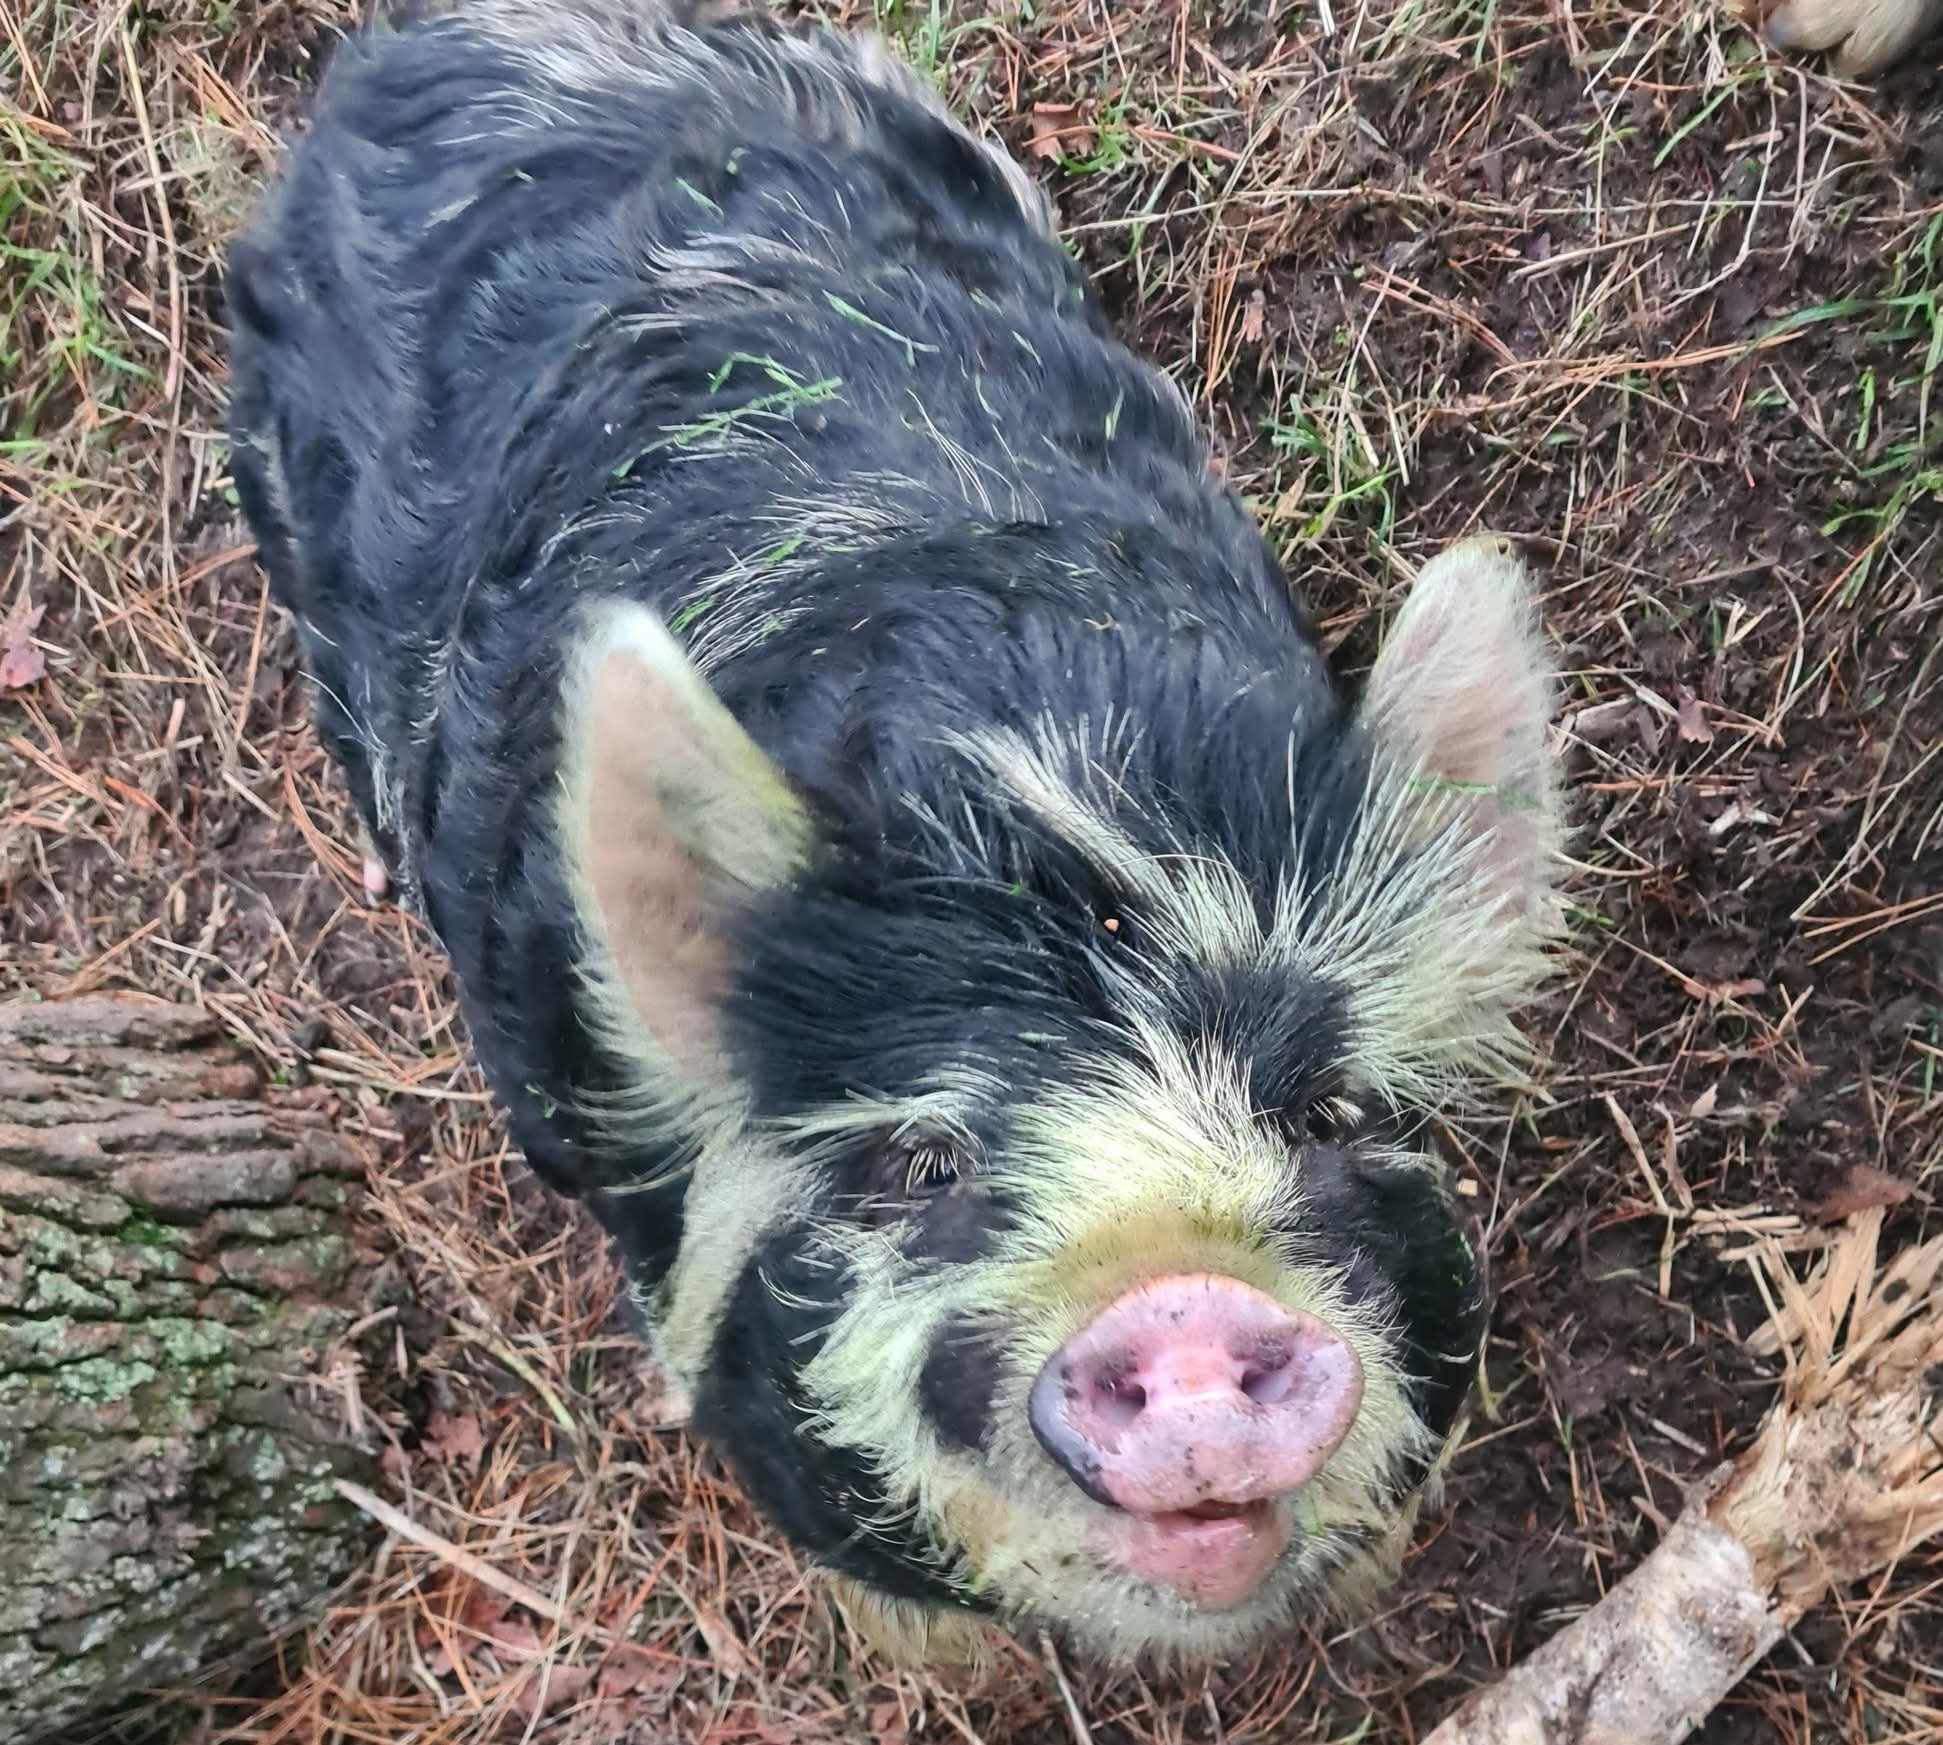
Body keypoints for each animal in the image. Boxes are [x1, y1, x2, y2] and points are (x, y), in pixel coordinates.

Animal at [224, 0, 1563, 1665]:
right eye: (915, 1165)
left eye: (1323, 1112)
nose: (1179, 1302)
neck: (1031, 763)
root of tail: (439, 46)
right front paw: (945, 1660)